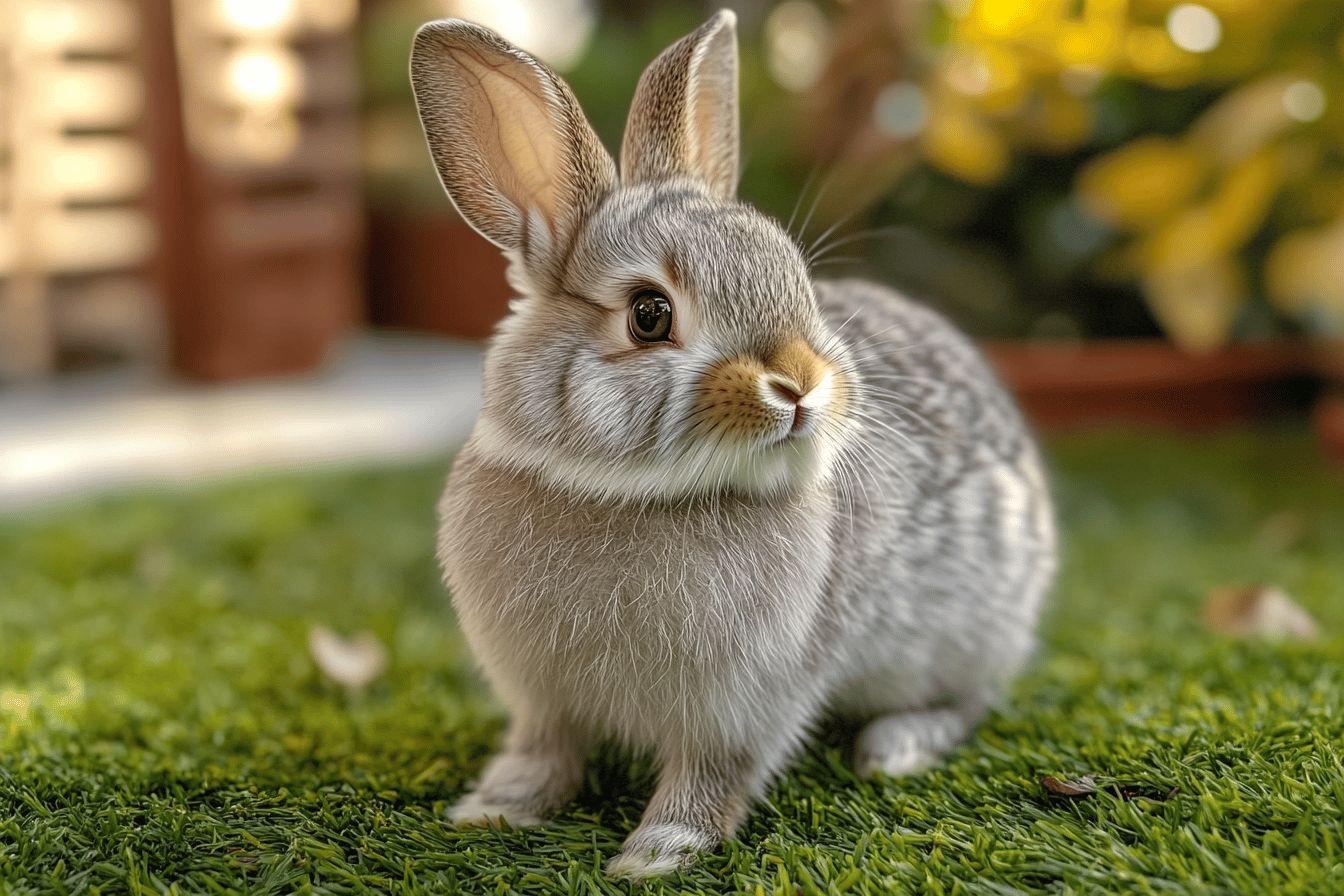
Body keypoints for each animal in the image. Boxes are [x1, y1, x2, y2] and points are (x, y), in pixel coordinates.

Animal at [411, 9, 1057, 880]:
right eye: (649, 314)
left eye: (796, 281)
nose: (801, 385)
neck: (637, 495)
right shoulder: (540, 694)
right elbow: (545, 751)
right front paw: (493, 809)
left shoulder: (747, 702)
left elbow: (712, 776)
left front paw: (656, 852)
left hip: (971, 632)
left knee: (969, 702)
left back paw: (895, 747)